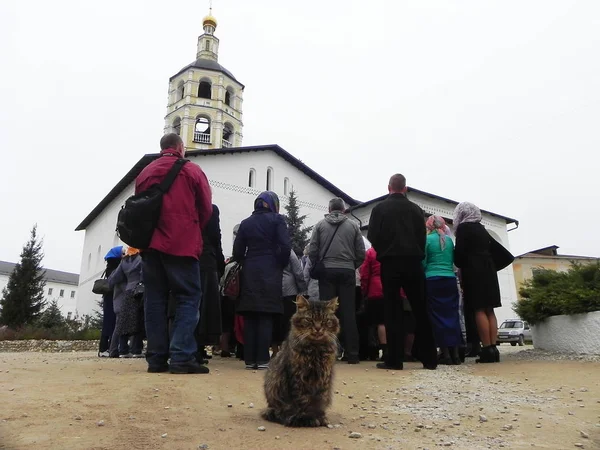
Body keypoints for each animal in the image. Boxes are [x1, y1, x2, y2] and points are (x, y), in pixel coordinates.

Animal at [262, 294, 340, 428]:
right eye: (309, 320)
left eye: (325, 321)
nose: (318, 328)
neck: (315, 349)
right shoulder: (298, 377)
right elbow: (303, 401)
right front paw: (307, 418)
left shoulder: (324, 379)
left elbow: (320, 401)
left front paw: (320, 417)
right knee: (281, 412)